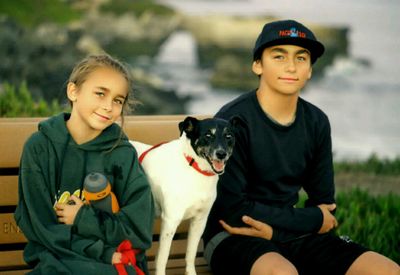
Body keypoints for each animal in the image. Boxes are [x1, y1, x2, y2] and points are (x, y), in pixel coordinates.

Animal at [131, 116, 238, 275]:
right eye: (208, 135)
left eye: (228, 136)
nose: (221, 154)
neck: (194, 168)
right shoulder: (170, 221)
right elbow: (163, 257)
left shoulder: (199, 221)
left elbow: (191, 254)